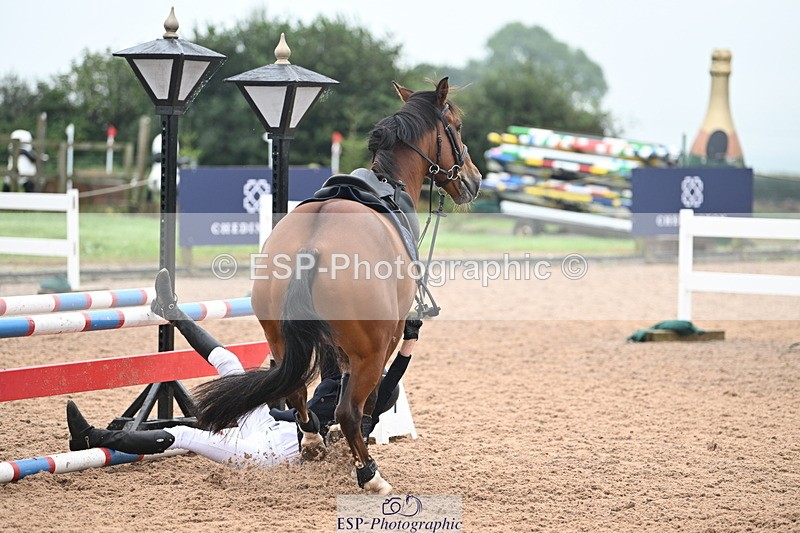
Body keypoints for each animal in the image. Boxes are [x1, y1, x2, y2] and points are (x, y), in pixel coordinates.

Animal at [193, 77, 482, 494]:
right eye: (456, 127)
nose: (474, 180)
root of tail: (311, 245)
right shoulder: (387, 339)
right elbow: (370, 400)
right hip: (369, 352)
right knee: (348, 409)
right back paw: (371, 475)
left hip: (280, 340)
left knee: (296, 388)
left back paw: (313, 442)